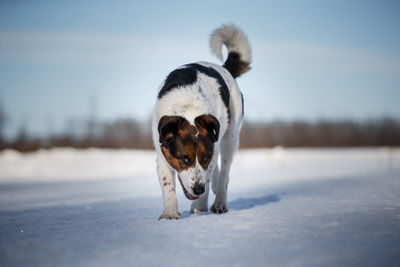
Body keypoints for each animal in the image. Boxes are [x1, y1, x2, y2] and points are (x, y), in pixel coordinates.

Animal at [152, 24, 252, 220]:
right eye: (184, 158)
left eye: (204, 157)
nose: (198, 189)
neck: (188, 107)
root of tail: (224, 68)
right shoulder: (161, 154)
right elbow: (168, 184)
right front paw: (170, 213)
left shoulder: (212, 153)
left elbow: (209, 173)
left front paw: (200, 204)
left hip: (230, 138)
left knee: (224, 175)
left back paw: (219, 202)